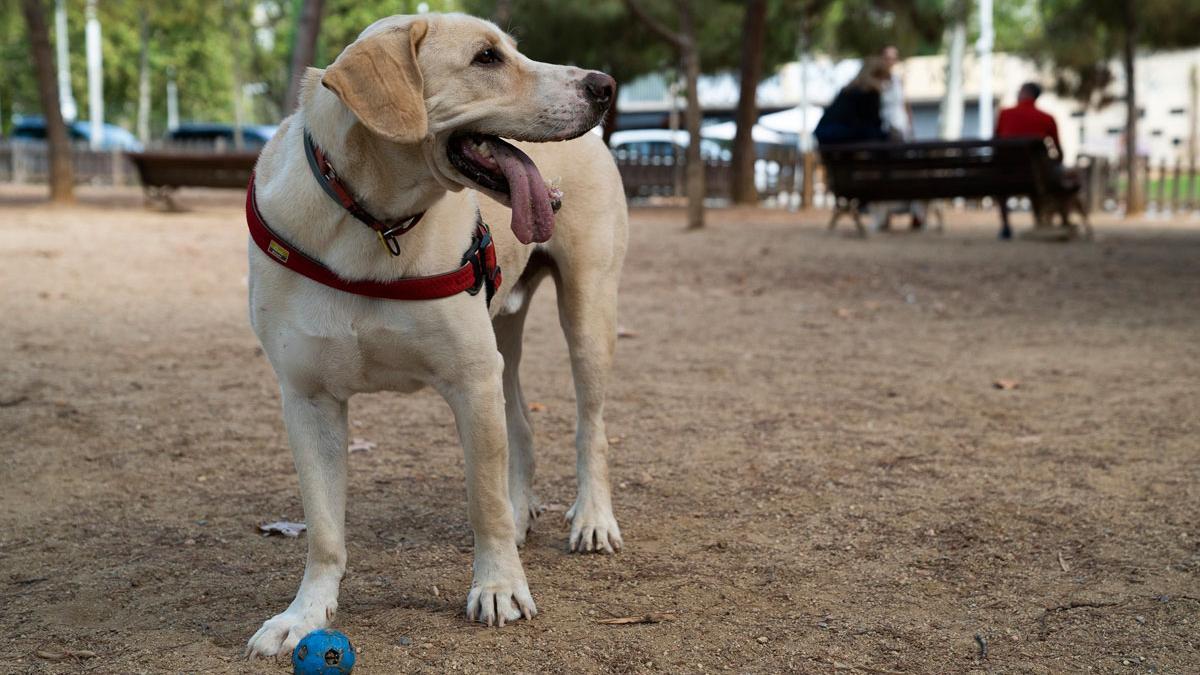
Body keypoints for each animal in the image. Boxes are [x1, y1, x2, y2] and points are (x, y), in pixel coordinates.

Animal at [240, 11, 624, 658]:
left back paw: (593, 518)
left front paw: (499, 588)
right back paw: (525, 509)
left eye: (511, 50)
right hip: (502, 333)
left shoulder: (470, 380)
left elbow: (483, 501)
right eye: (487, 58)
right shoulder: (307, 399)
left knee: (589, 425)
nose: (603, 85)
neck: (373, 225)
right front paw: (304, 615)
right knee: (521, 422)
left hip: (587, 312)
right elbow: (323, 529)